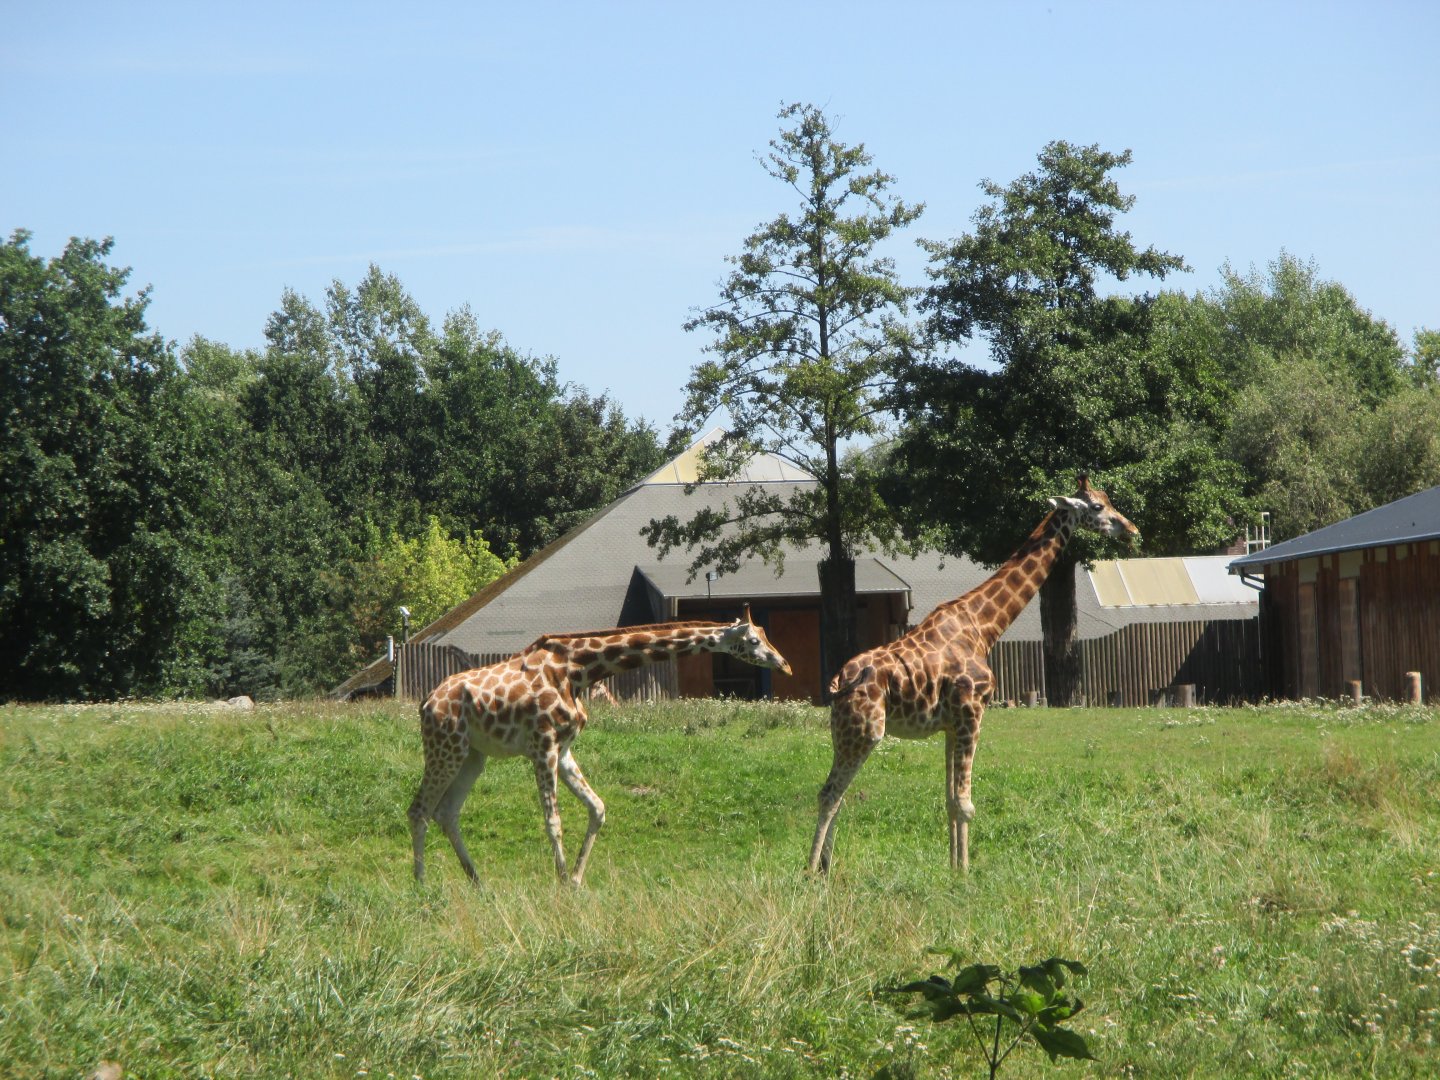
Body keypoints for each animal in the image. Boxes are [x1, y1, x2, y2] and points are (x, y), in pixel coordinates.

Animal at [409, 609, 792, 886]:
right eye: (754, 640)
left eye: (766, 636)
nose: (784, 664)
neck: (578, 671)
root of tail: (426, 703)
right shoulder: (543, 746)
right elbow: (553, 820)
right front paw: (562, 881)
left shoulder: (563, 750)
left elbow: (597, 808)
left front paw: (575, 880)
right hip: (445, 747)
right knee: (419, 810)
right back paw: (422, 887)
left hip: (473, 756)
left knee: (446, 813)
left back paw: (478, 883)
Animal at [808, 475, 1138, 875]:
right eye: (1097, 507)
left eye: (1108, 499)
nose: (1131, 530)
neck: (984, 626)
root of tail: (838, 682)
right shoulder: (972, 712)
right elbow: (966, 804)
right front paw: (966, 874)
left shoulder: (951, 725)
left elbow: (950, 800)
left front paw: (953, 867)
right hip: (865, 732)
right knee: (828, 794)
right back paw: (810, 872)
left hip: (844, 734)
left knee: (836, 795)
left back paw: (825, 868)